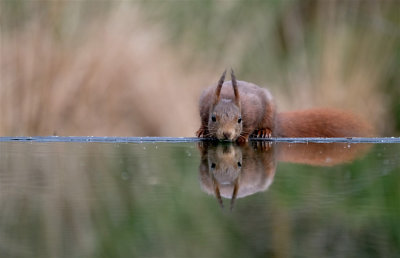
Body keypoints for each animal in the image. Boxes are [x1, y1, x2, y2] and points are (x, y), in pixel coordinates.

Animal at [196, 69, 372, 142]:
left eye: (239, 120)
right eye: (213, 118)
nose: (227, 134)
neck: (227, 96)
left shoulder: (253, 110)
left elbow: (250, 126)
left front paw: (242, 137)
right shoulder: (204, 105)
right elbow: (203, 120)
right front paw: (202, 130)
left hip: (269, 113)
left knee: (268, 125)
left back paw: (264, 132)